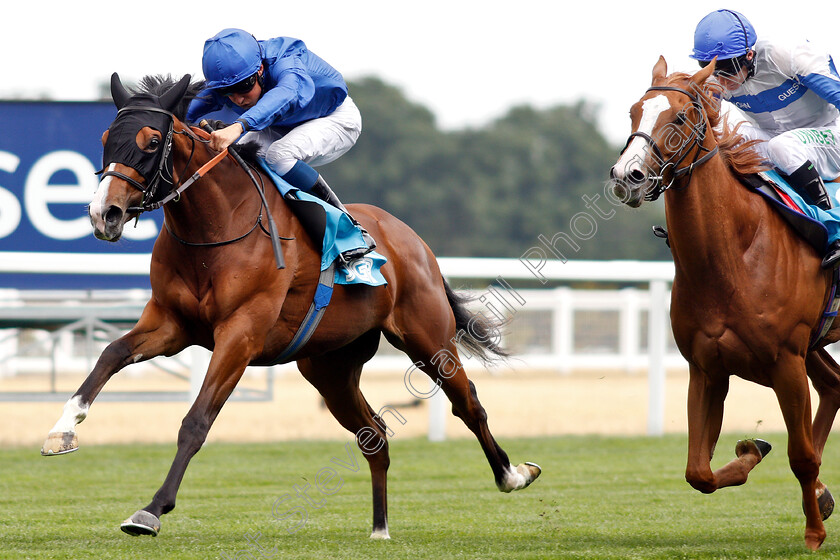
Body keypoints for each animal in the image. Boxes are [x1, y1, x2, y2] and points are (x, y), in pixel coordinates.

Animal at [41, 74, 540, 540]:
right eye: (106, 138)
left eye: (151, 141)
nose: (103, 214)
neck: (215, 228)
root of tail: (412, 240)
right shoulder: (171, 324)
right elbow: (110, 356)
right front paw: (62, 430)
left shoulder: (240, 334)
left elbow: (196, 421)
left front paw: (151, 510)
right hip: (329, 367)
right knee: (374, 435)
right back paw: (379, 527)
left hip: (426, 337)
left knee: (468, 403)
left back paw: (513, 475)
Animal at [608, 58, 840, 552]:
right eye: (634, 112)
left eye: (679, 117)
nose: (625, 176)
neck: (733, 252)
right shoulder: (707, 367)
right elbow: (698, 471)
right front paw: (754, 450)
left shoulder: (785, 363)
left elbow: (801, 456)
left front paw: (813, 533)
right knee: (835, 386)